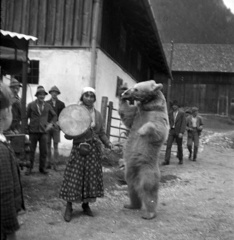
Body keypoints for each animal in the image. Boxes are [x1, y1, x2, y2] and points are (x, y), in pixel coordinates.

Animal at [119, 80, 168, 219]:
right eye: (133, 86)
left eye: (136, 89)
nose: (126, 93)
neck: (149, 106)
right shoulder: (137, 114)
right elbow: (127, 114)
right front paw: (122, 91)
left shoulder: (159, 116)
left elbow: (157, 129)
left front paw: (141, 131)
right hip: (130, 169)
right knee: (130, 185)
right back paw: (131, 204)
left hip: (147, 166)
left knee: (148, 187)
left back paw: (149, 213)